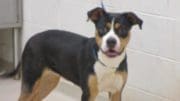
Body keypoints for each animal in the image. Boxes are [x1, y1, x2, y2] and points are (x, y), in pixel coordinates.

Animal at [0, 6, 143, 100]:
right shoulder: (88, 93)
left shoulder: (116, 92)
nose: (111, 41)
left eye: (122, 29)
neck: (108, 63)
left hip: (48, 81)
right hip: (31, 81)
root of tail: (30, 39)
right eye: (103, 28)